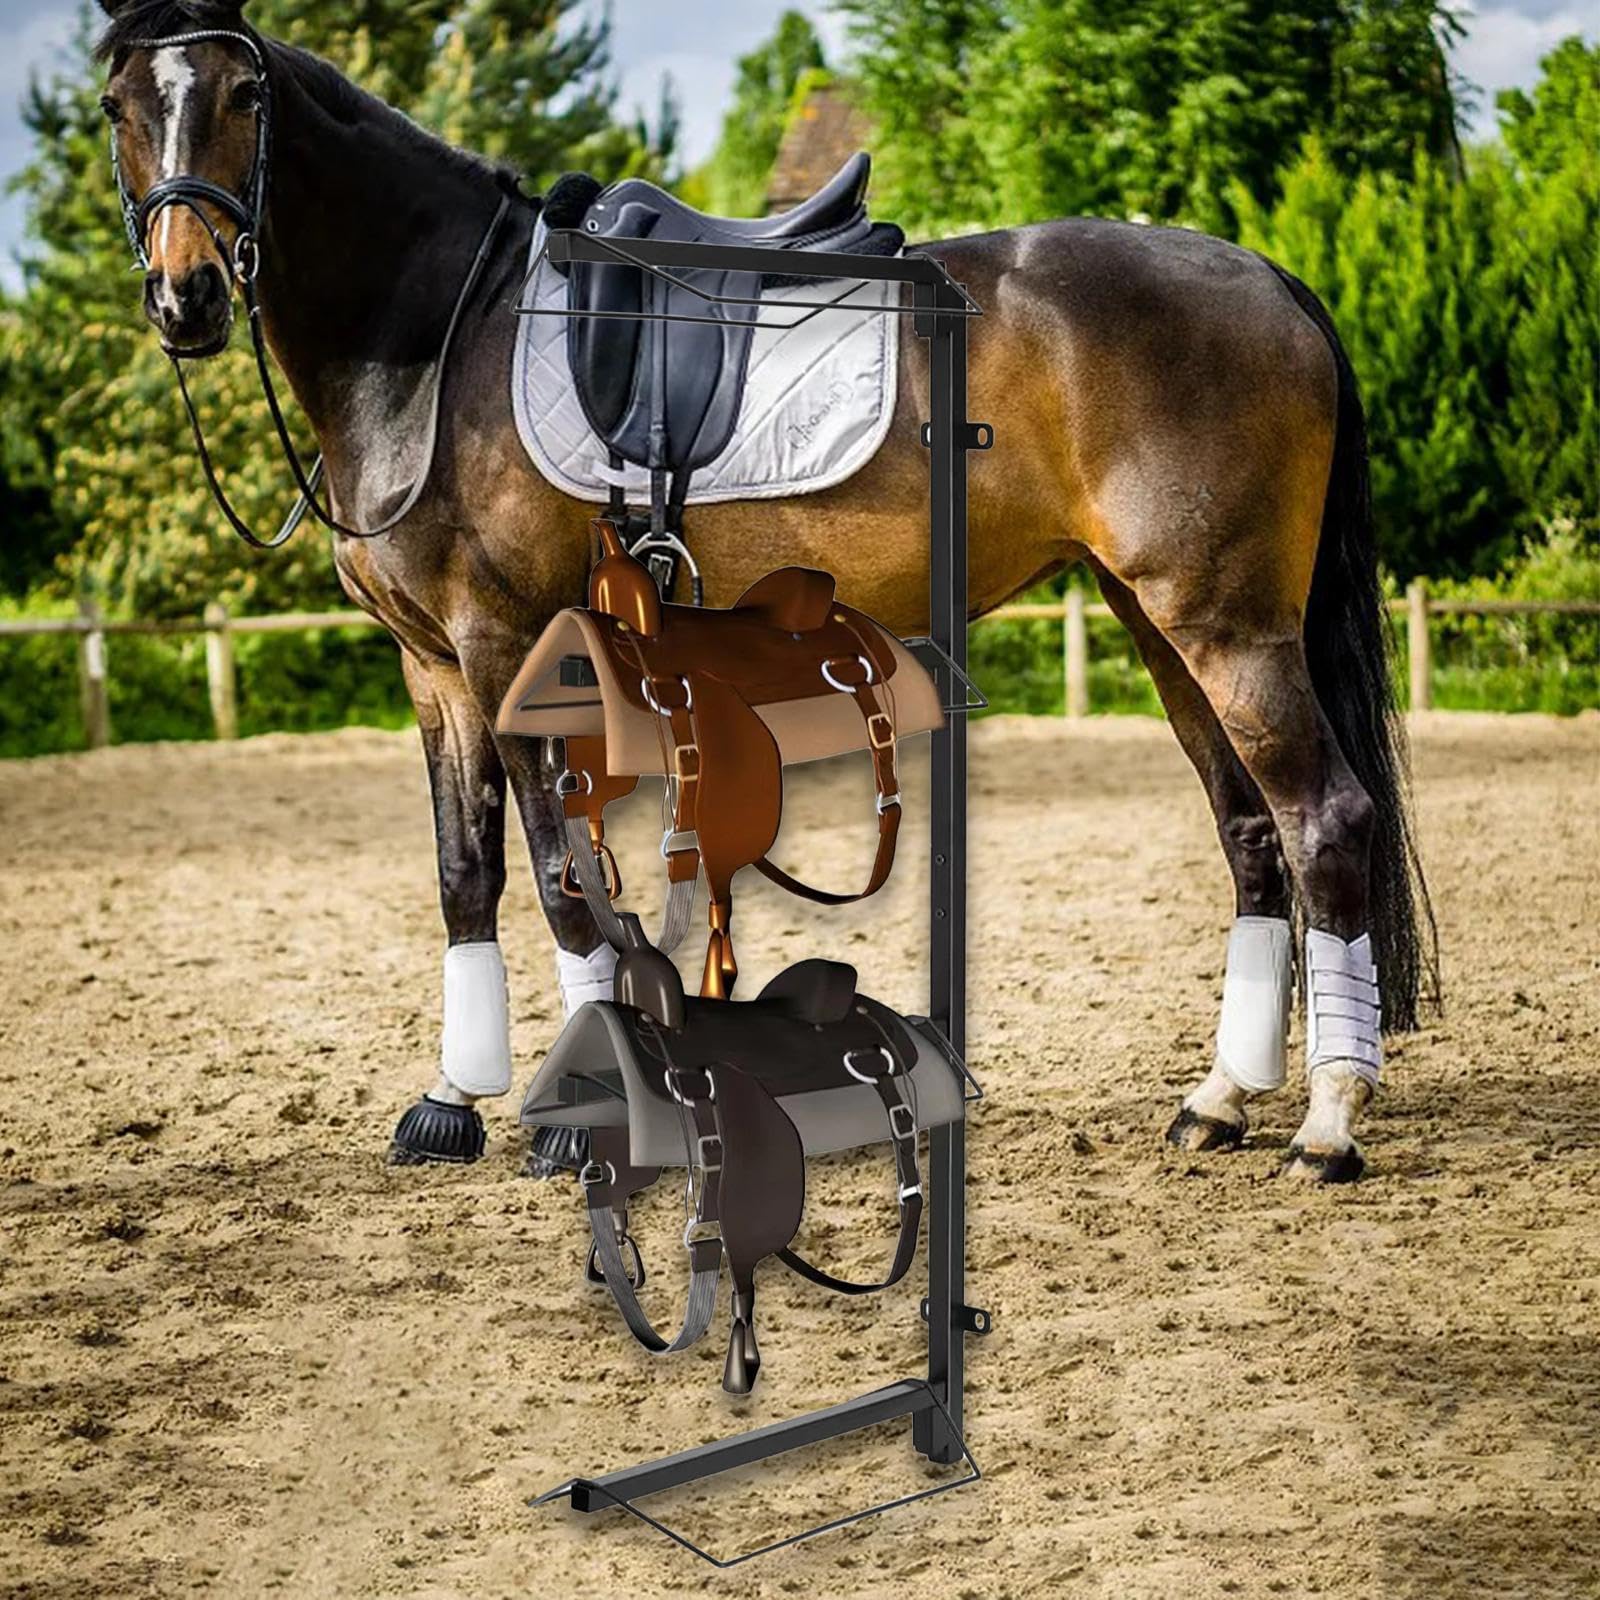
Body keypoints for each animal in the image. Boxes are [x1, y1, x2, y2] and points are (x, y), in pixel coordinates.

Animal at [95, 0, 1433, 1184]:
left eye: (245, 95)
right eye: (119, 106)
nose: (186, 294)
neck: (439, 339)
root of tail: (1265, 276)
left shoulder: (504, 648)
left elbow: (560, 883)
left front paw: (578, 1121)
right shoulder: (433, 671)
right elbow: (464, 872)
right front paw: (449, 1106)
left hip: (1226, 624)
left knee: (1324, 820)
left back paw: (1327, 1122)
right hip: (1153, 620)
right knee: (1251, 830)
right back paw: (1219, 1102)